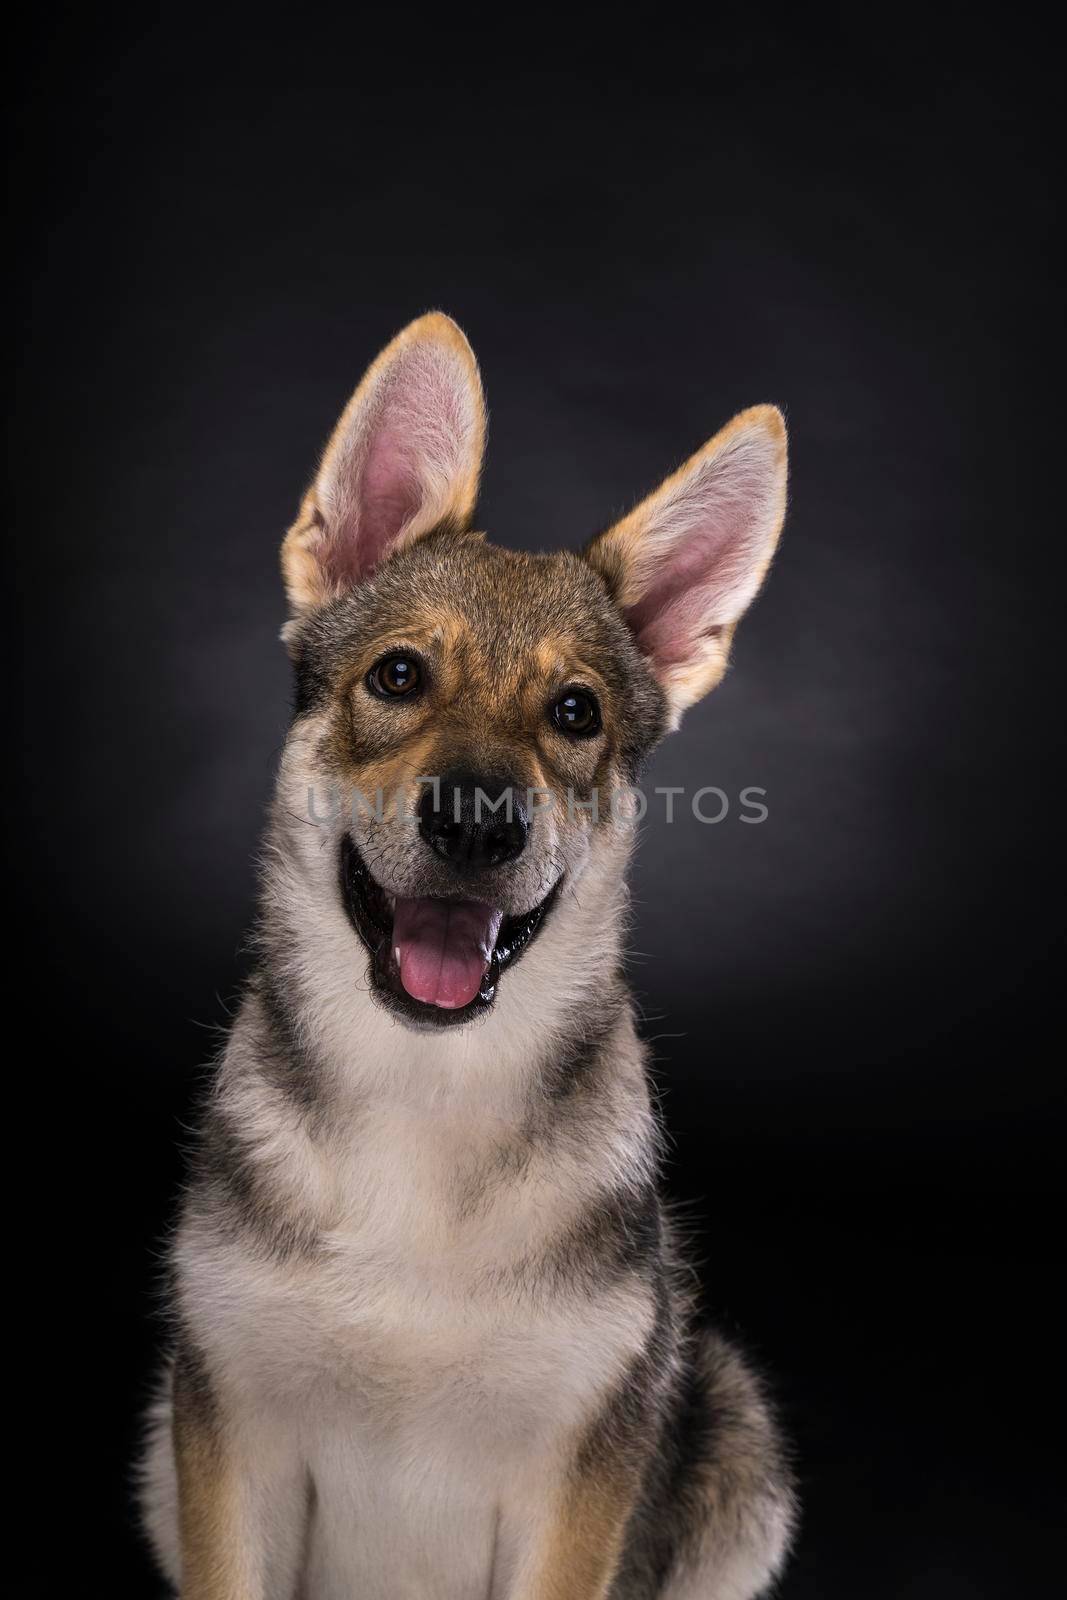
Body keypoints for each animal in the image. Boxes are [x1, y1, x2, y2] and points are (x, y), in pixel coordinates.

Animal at [137, 305, 796, 1593]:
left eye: (575, 712)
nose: (479, 820)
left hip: (737, 1441)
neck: (422, 1098)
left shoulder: (573, 1486)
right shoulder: (226, 1437)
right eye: (398, 674)